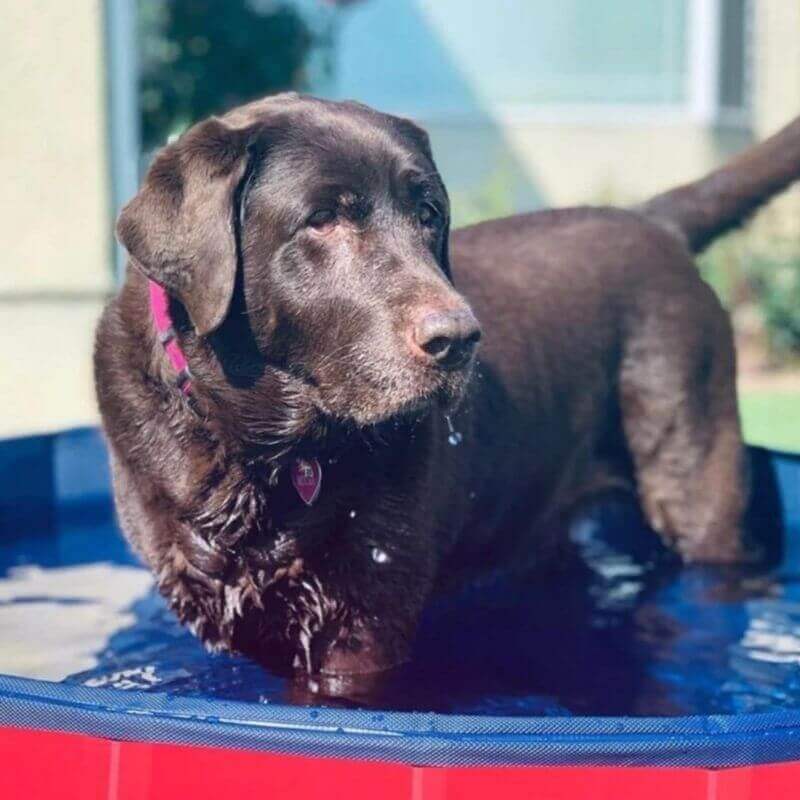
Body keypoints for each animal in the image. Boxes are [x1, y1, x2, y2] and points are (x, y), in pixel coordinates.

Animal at [95, 92, 800, 692]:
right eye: (323, 219)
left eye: (428, 215)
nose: (460, 339)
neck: (262, 443)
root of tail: (653, 220)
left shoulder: (364, 621)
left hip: (696, 491)